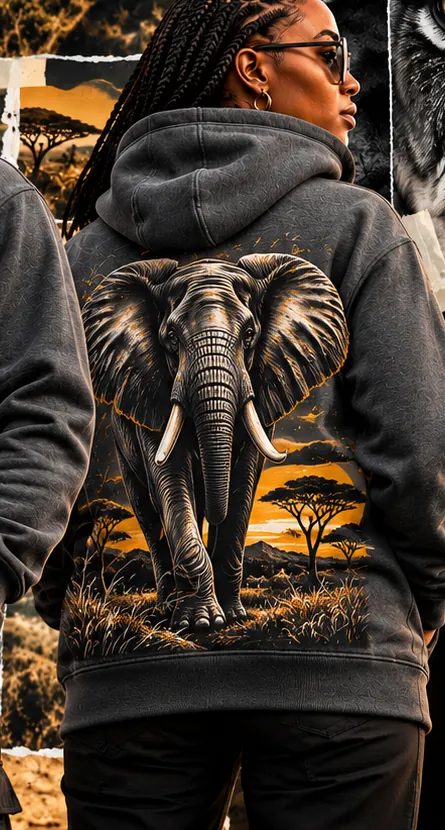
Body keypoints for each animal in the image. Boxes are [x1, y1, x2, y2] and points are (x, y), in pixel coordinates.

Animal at [82, 253, 349, 632]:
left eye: (250, 335)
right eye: (172, 338)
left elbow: (243, 483)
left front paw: (233, 616)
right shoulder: (150, 391)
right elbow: (171, 479)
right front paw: (200, 622)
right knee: (148, 511)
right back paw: (166, 609)